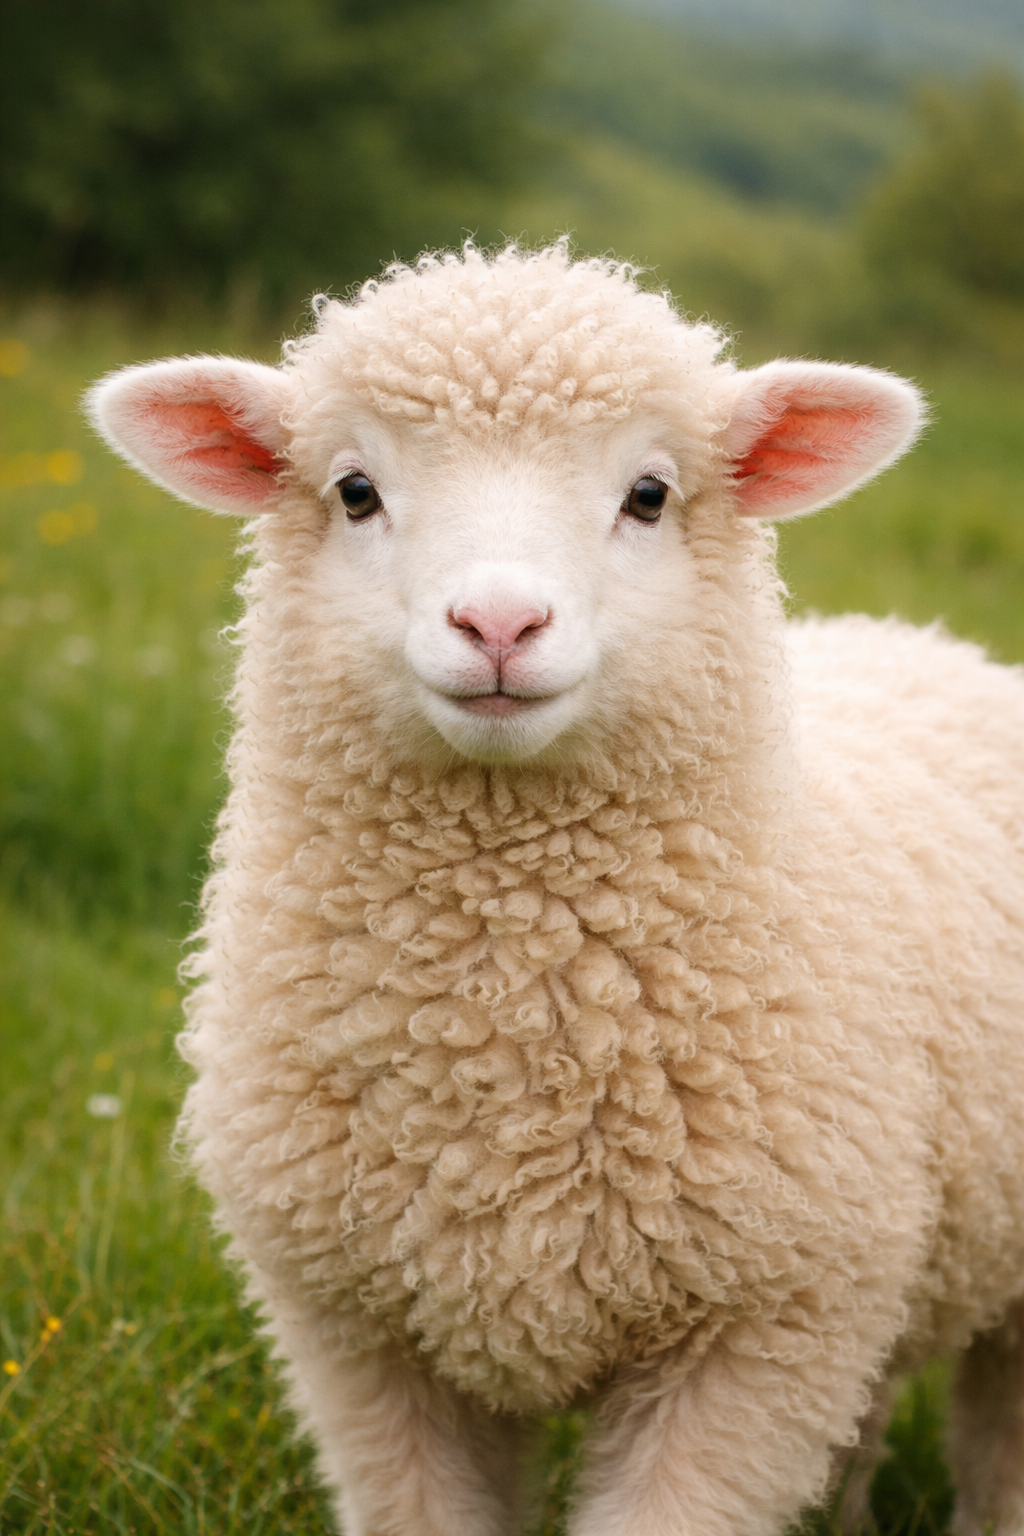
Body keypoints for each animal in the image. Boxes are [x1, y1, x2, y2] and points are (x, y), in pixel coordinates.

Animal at [87, 242, 1024, 1536]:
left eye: (650, 494)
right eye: (354, 491)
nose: (497, 621)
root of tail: (925, 641)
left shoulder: (757, 1338)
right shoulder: (360, 1342)